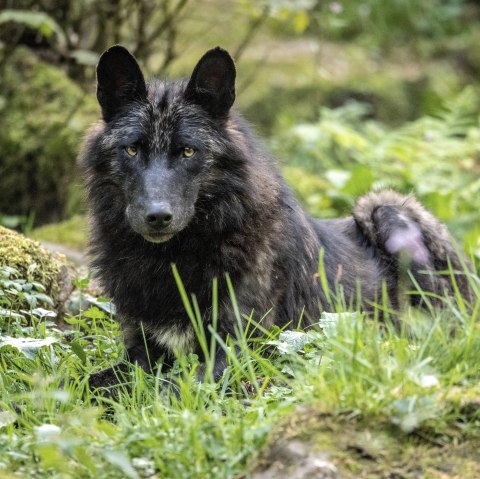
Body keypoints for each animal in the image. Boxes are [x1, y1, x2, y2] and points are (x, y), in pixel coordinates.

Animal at [80, 45, 470, 388]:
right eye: (133, 149)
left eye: (188, 151)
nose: (157, 216)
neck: (171, 260)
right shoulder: (140, 352)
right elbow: (90, 383)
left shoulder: (235, 351)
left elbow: (169, 391)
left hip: (384, 209)